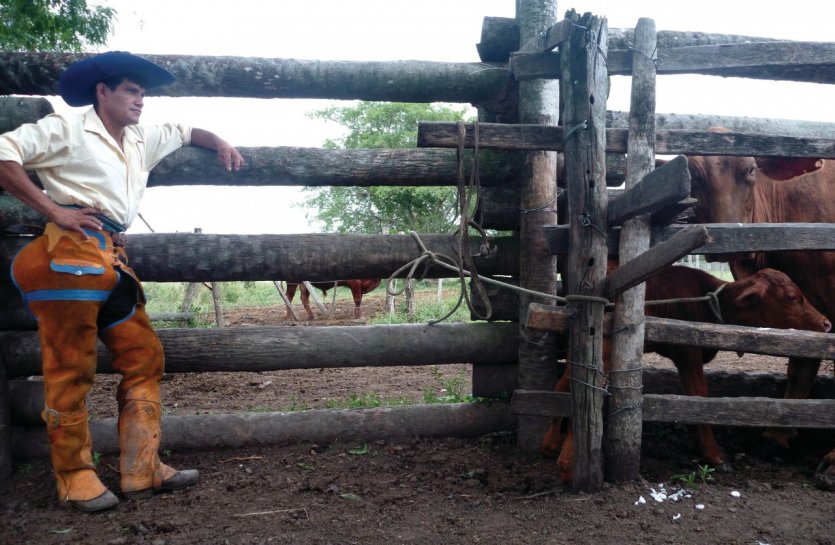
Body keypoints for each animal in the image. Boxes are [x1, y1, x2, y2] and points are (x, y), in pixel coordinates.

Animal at [544, 266, 828, 482]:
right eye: (792, 297)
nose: (826, 323)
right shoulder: (689, 354)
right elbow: (699, 398)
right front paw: (715, 456)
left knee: (562, 385)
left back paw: (550, 443)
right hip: (602, 348)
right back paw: (568, 464)